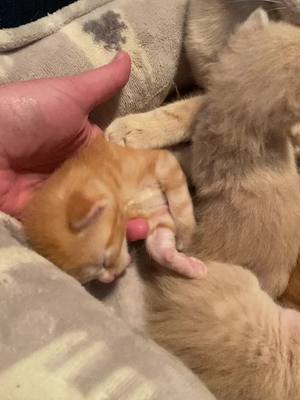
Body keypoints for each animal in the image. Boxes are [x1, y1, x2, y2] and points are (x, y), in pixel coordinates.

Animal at [21, 134, 206, 282]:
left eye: (105, 262)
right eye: (91, 278)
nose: (110, 278)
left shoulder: (164, 162)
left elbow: (180, 204)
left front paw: (186, 236)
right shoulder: (155, 215)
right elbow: (160, 250)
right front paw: (186, 265)